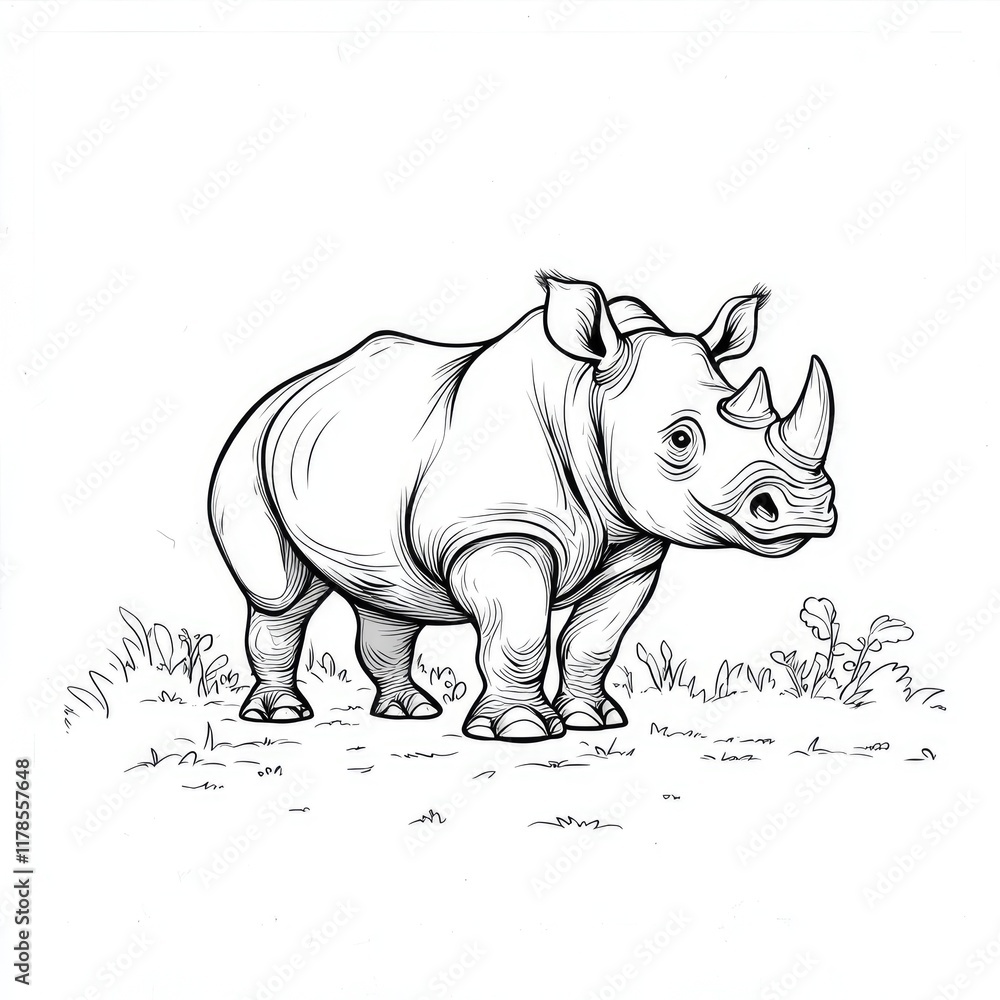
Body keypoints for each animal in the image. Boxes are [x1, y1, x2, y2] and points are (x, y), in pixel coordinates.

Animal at [209, 273, 835, 741]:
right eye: (681, 440)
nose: (805, 509)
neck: (584, 399)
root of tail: (282, 390)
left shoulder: (634, 545)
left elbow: (594, 640)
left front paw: (593, 721)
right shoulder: (499, 533)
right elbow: (520, 636)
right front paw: (521, 730)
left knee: (389, 599)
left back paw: (410, 712)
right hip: (248, 451)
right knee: (283, 597)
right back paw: (282, 716)